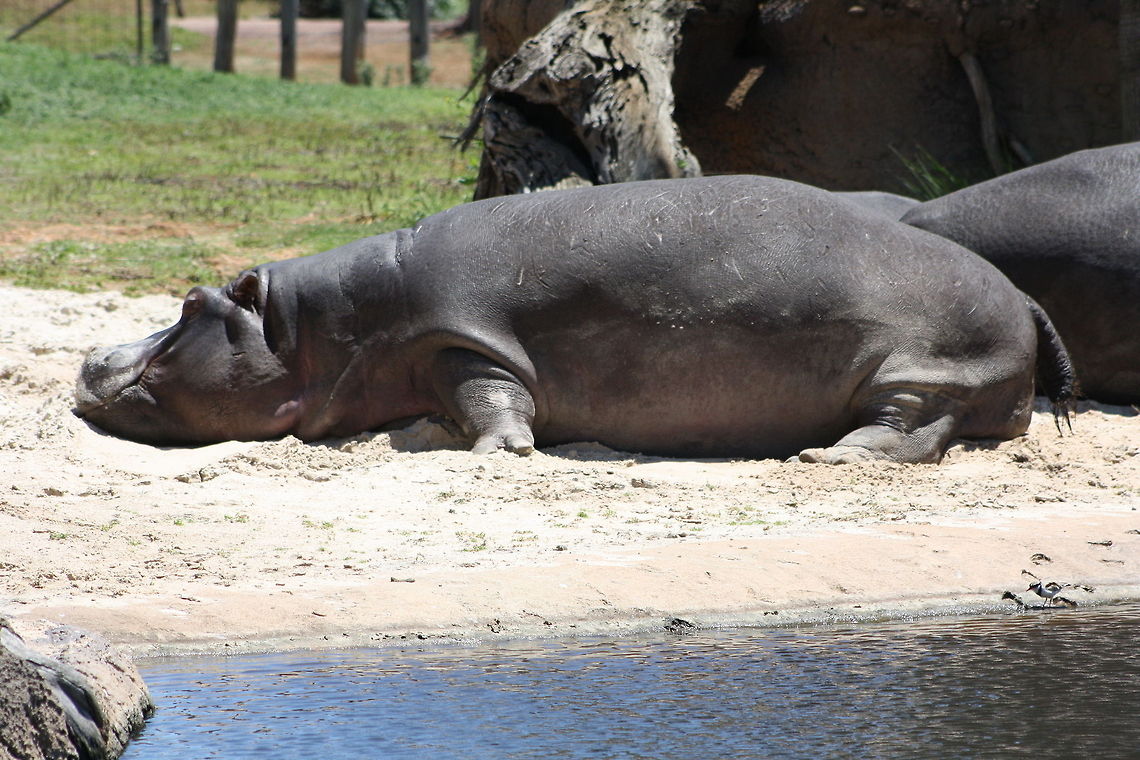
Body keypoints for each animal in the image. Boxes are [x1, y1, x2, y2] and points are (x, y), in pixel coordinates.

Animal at [75, 175, 1074, 464]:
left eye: (188, 305)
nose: (88, 358)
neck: (318, 325)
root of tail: (1022, 293)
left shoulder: (462, 338)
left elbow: (486, 393)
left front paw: (492, 457)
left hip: (921, 365)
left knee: (914, 428)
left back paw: (829, 457)